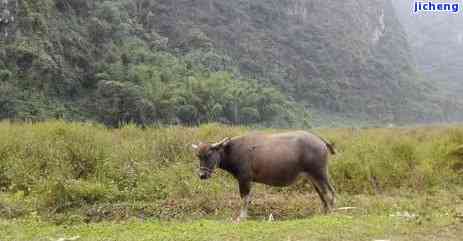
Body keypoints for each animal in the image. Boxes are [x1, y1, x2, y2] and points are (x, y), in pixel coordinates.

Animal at [192, 131, 338, 221]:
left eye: (209, 154)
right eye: (198, 156)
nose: (202, 175)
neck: (231, 150)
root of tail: (320, 140)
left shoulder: (244, 179)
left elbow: (244, 199)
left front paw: (241, 217)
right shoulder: (249, 181)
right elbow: (248, 199)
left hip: (320, 174)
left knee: (330, 192)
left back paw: (330, 213)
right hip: (313, 177)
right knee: (322, 194)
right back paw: (323, 212)